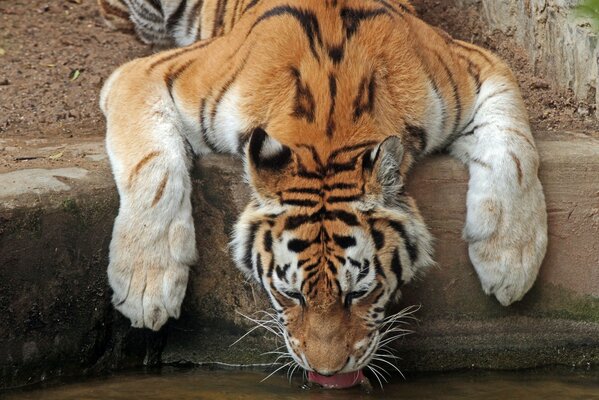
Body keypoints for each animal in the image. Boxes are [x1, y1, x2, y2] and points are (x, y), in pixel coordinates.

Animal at [97, 0, 548, 384]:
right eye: (290, 294)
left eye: (361, 293)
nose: (327, 371)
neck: (329, 133)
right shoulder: (148, 74)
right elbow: (153, 169)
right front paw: (146, 287)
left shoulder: (481, 68)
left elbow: (516, 151)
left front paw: (511, 262)